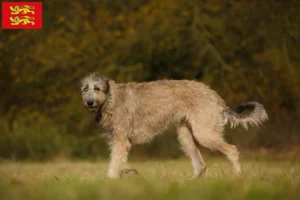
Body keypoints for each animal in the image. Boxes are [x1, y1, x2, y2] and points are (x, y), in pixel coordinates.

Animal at [79, 73, 268, 178]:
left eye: (97, 89)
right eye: (85, 89)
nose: (89, 102)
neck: (110, 99)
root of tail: (216, 96)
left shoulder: (121, 141)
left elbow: (113, 166)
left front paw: (110, 180)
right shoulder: (115, 141)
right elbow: (116, 163)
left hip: (204, 134)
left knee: (232, 150)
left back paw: (237, 176)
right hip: (186, 136)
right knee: (200, 165)